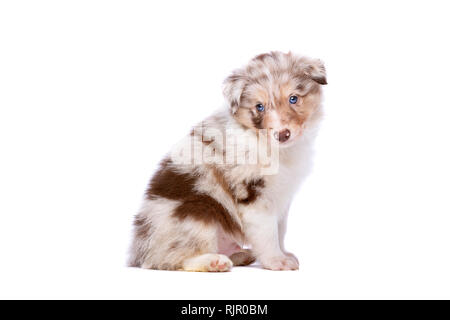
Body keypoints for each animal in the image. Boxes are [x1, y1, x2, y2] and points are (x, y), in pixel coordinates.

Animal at [128, 51, 326, 272]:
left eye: (293, 98)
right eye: (259, 106)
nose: (283, 135)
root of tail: (138, 252)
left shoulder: (282, 195)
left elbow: (280, 230)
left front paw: (283, 253)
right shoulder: (253, 194)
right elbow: (268, 233)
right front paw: (277, 260)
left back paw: (242, 254)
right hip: (196, 213)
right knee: (170, 260)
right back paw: (214, 261)